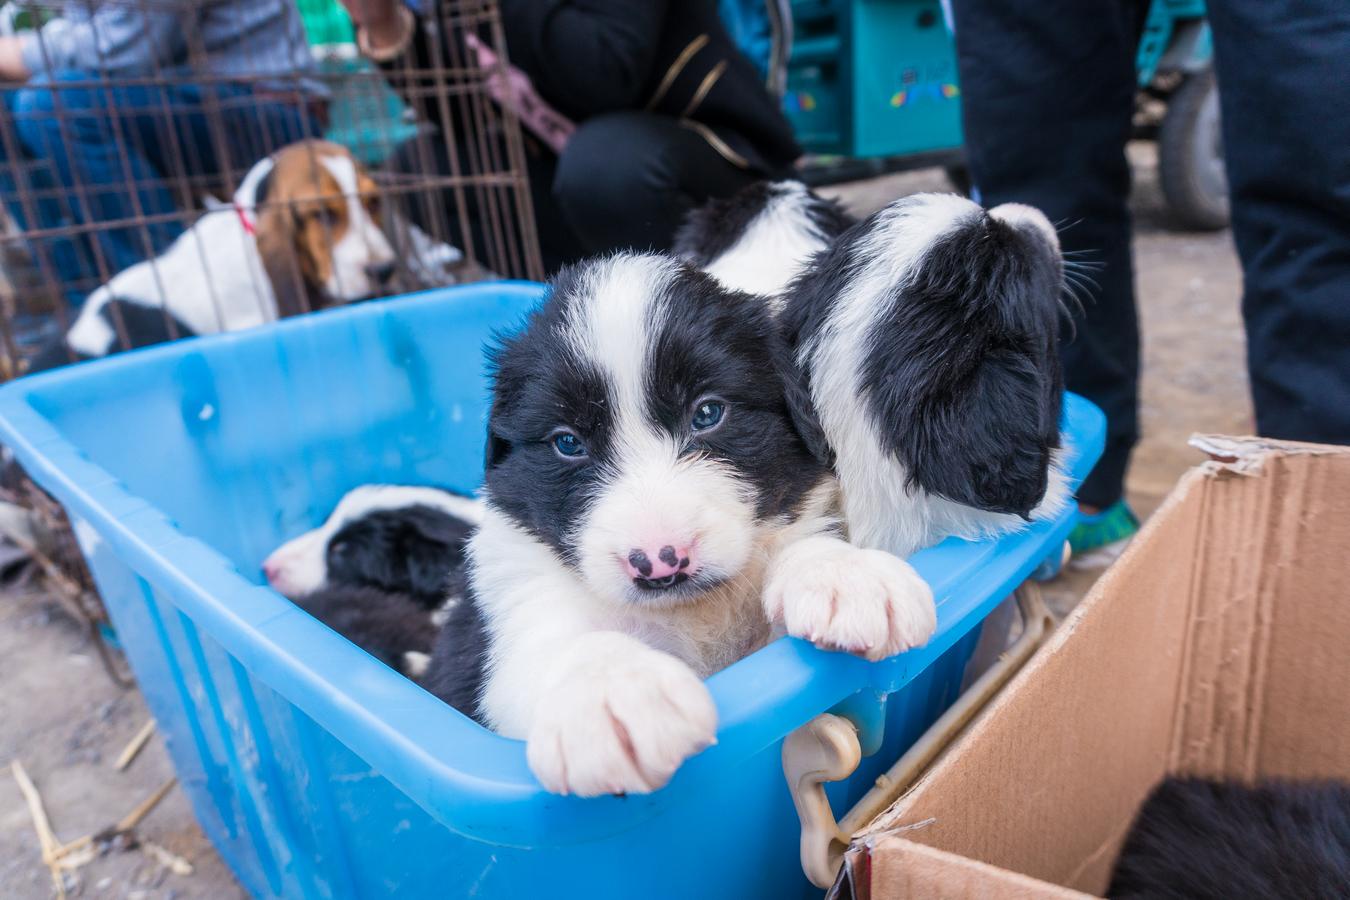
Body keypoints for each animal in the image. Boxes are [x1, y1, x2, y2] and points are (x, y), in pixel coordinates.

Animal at [426, 190, 1069, 793]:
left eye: (709, 413)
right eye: (567, 443)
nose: (660, 562)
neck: (696, 613)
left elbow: (800, 545)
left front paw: (847, 578)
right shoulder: (510, 614)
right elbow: (562, 645)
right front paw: (614, 696)